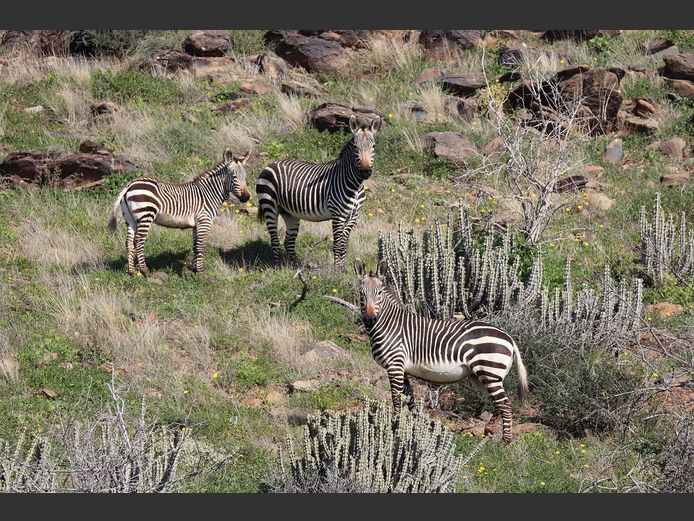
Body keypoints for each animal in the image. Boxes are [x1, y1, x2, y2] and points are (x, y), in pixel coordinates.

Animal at [107, 149, 252, 276]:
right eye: (234, 177)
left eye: (246, 177)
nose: (246, 197)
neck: (209, 193)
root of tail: (130, 184)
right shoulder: (204, 221)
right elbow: (201, 246)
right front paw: (200, 273)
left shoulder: (196, 225)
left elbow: (195, 246)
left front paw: (194, 269)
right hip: (145, 215)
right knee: (139, 241)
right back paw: (145, 271)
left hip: (130, 218)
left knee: (129, 242)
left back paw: (131, 271)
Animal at [256, 115, 380, 272]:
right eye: (355, 147)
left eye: (373, 146)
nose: (365, 172)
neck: (355, 185)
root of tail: (270, 164)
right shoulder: (337, 215)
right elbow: (338, 245)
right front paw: (337, 271)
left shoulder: (353, 216)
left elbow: (344, 244)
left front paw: (343, 269)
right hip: (270, 206)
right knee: (274, 239)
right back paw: (277, 267)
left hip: (289, 212)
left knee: (288, 241)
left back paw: (296, 267)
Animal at [354, 258, 529, 443]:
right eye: (361, 294)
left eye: (379, 293)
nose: (370, 320)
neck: (389, 325)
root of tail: (509, 338)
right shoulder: (403, 368)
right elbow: (409, 397)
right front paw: (413, 424)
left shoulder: (394, 365)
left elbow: (396, 397)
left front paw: (395, 426)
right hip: (481, 377)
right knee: (498, 402)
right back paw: (489, 430)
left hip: (490, 372)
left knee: (505, 403)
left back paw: (506, 441)